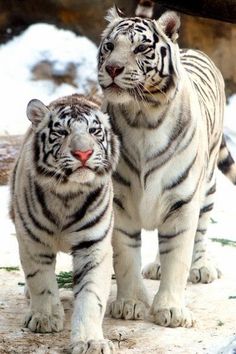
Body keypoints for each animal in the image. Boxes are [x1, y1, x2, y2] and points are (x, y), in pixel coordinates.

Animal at [9, 94, 119, 354]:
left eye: (94, 131)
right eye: (61, 132)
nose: (84, 154)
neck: (67, 195)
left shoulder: (93, 246)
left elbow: (91, 296)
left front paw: (91, 342)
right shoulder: (33, 242)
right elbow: (40, 280)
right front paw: (45, 318)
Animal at [97, 7, 236, 330]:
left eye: (140, 48)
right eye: (109, 46)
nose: (112, 68)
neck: (142, 117)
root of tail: (192, 49)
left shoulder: (182, 203)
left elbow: (179, 258)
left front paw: (171, 311)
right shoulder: (120, 204)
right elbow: (126, 258)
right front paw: (130, 304)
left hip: (207, 186)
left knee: (200, 231)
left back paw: (201, 268)